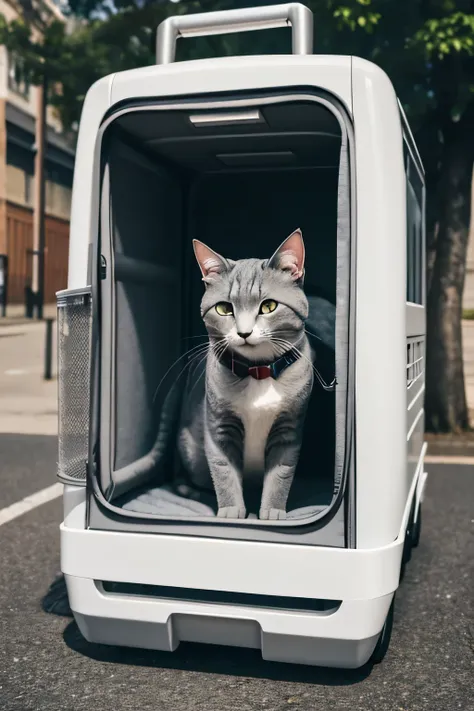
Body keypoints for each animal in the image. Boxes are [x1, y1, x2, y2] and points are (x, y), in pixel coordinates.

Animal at [176, 231, 312, 520]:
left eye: (269, 306)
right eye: (224, 308)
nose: (244, 332)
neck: (258, 371)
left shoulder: (288, 429)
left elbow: (281, 472)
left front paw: (273, 510)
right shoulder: (219, 425)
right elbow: (223, 469)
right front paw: (230, 511)